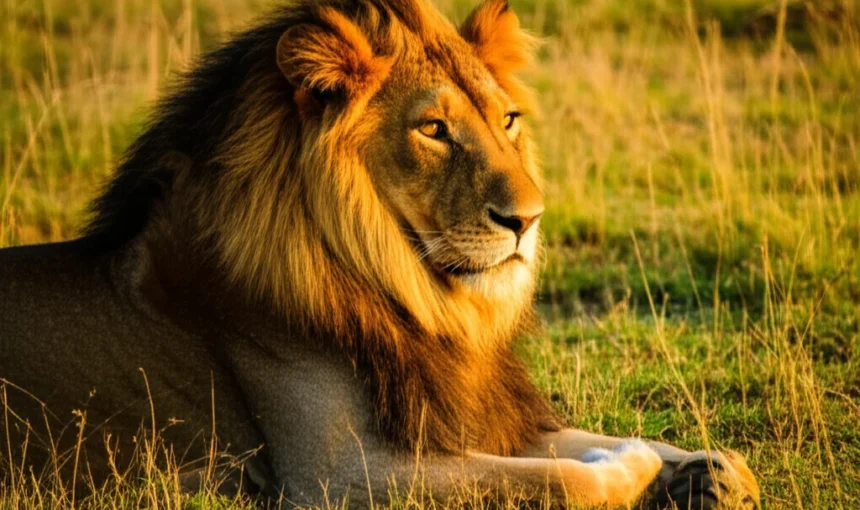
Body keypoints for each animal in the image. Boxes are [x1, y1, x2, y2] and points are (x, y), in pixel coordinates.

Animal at [0, 0, 760, 507]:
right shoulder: (337, 472)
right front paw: (630, 467)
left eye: (507, 119)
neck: (408, 292)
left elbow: (569, 441)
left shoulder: (452, 415)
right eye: (433, 129)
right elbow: (561, 476)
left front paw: (711, 469)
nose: (529, 220)